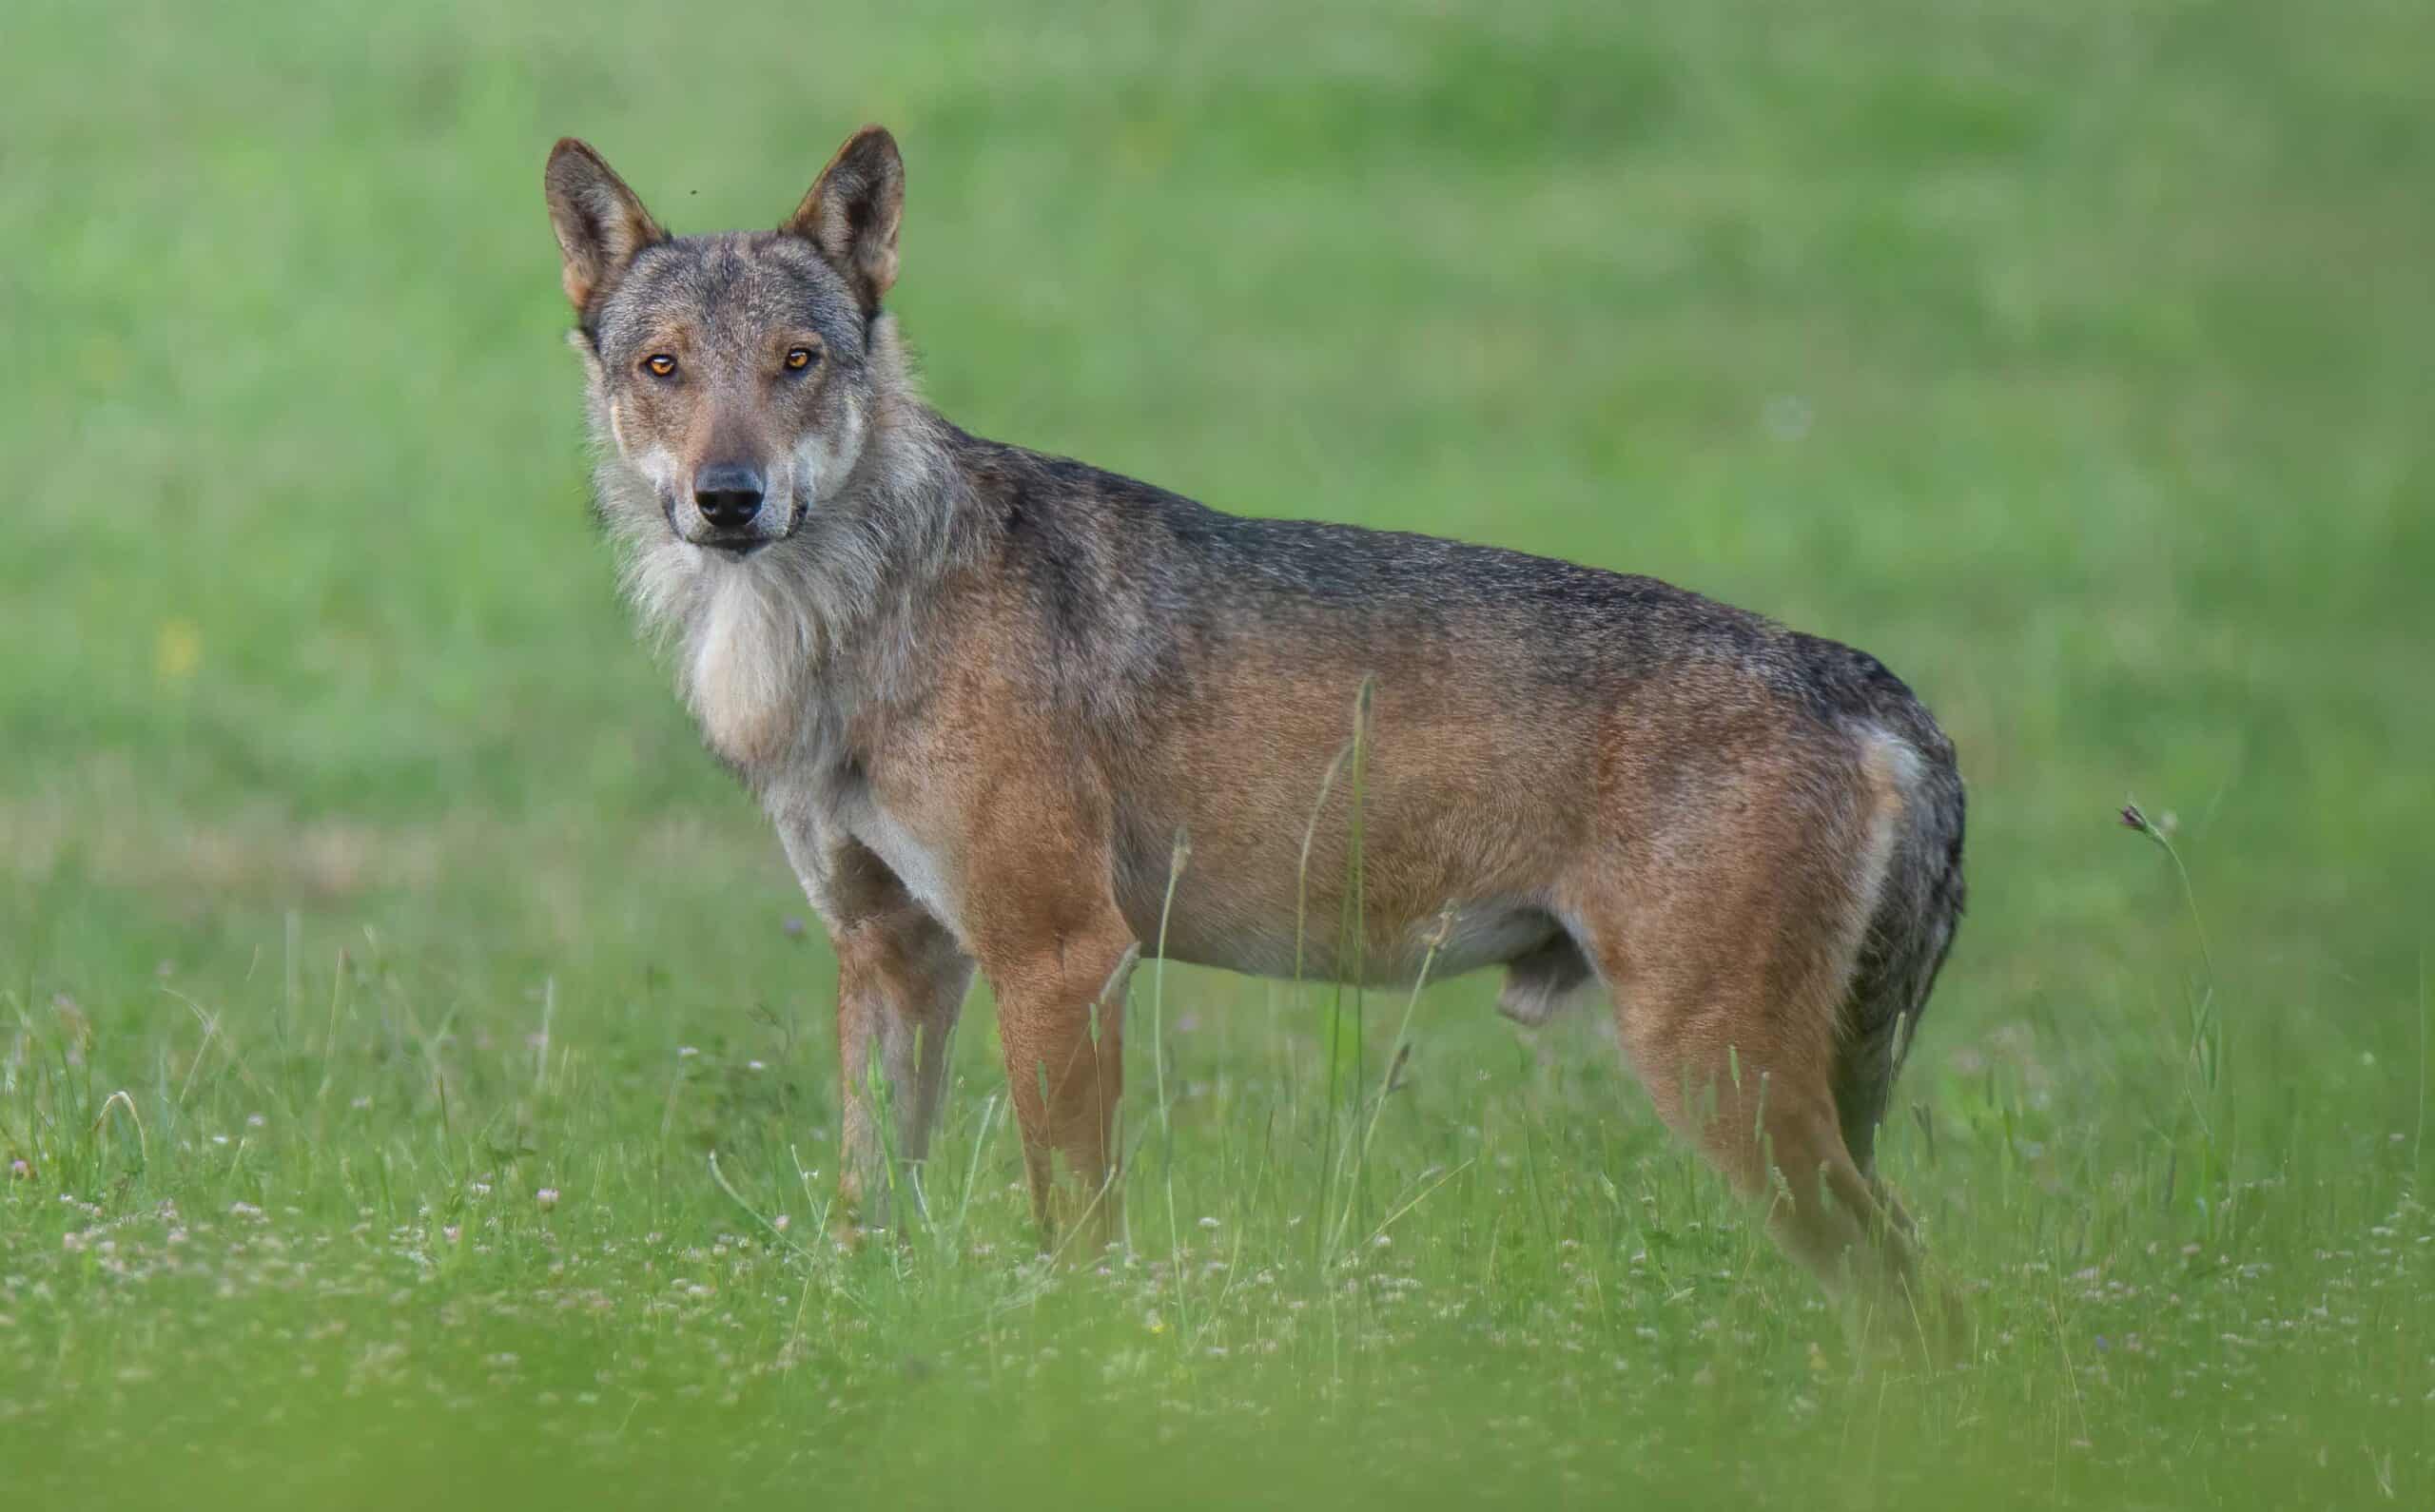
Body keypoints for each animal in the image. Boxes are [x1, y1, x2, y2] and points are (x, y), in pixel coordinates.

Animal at [542, 126, 1965, 1317]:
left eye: (799, 365)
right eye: (664, 369)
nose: (730, 498)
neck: (849, 621)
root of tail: (1870, 686)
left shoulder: (1063, 958)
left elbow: (1077, 1241)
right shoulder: (891, 957)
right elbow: (863, 1217)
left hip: (1720, 1077)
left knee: (1921, 1301)